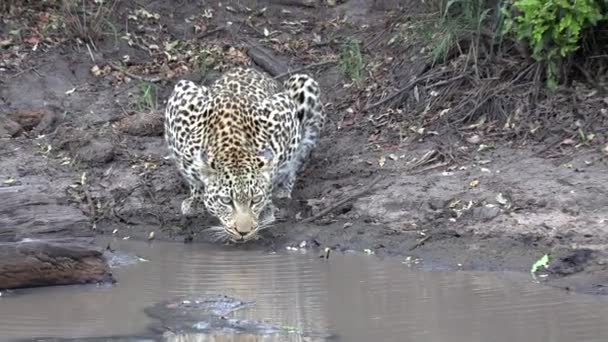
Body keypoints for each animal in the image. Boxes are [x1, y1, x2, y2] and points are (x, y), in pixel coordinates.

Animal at [162, 67, 324, 243]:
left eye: (255, 200)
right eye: (226, 201)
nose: (243, 232)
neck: (233, 148)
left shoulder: (284, 112)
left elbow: (277, 172)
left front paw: (266, 209)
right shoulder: (180, 99)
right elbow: (193, 179)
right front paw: (196, 201)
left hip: (303, 83)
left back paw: (282, 190)